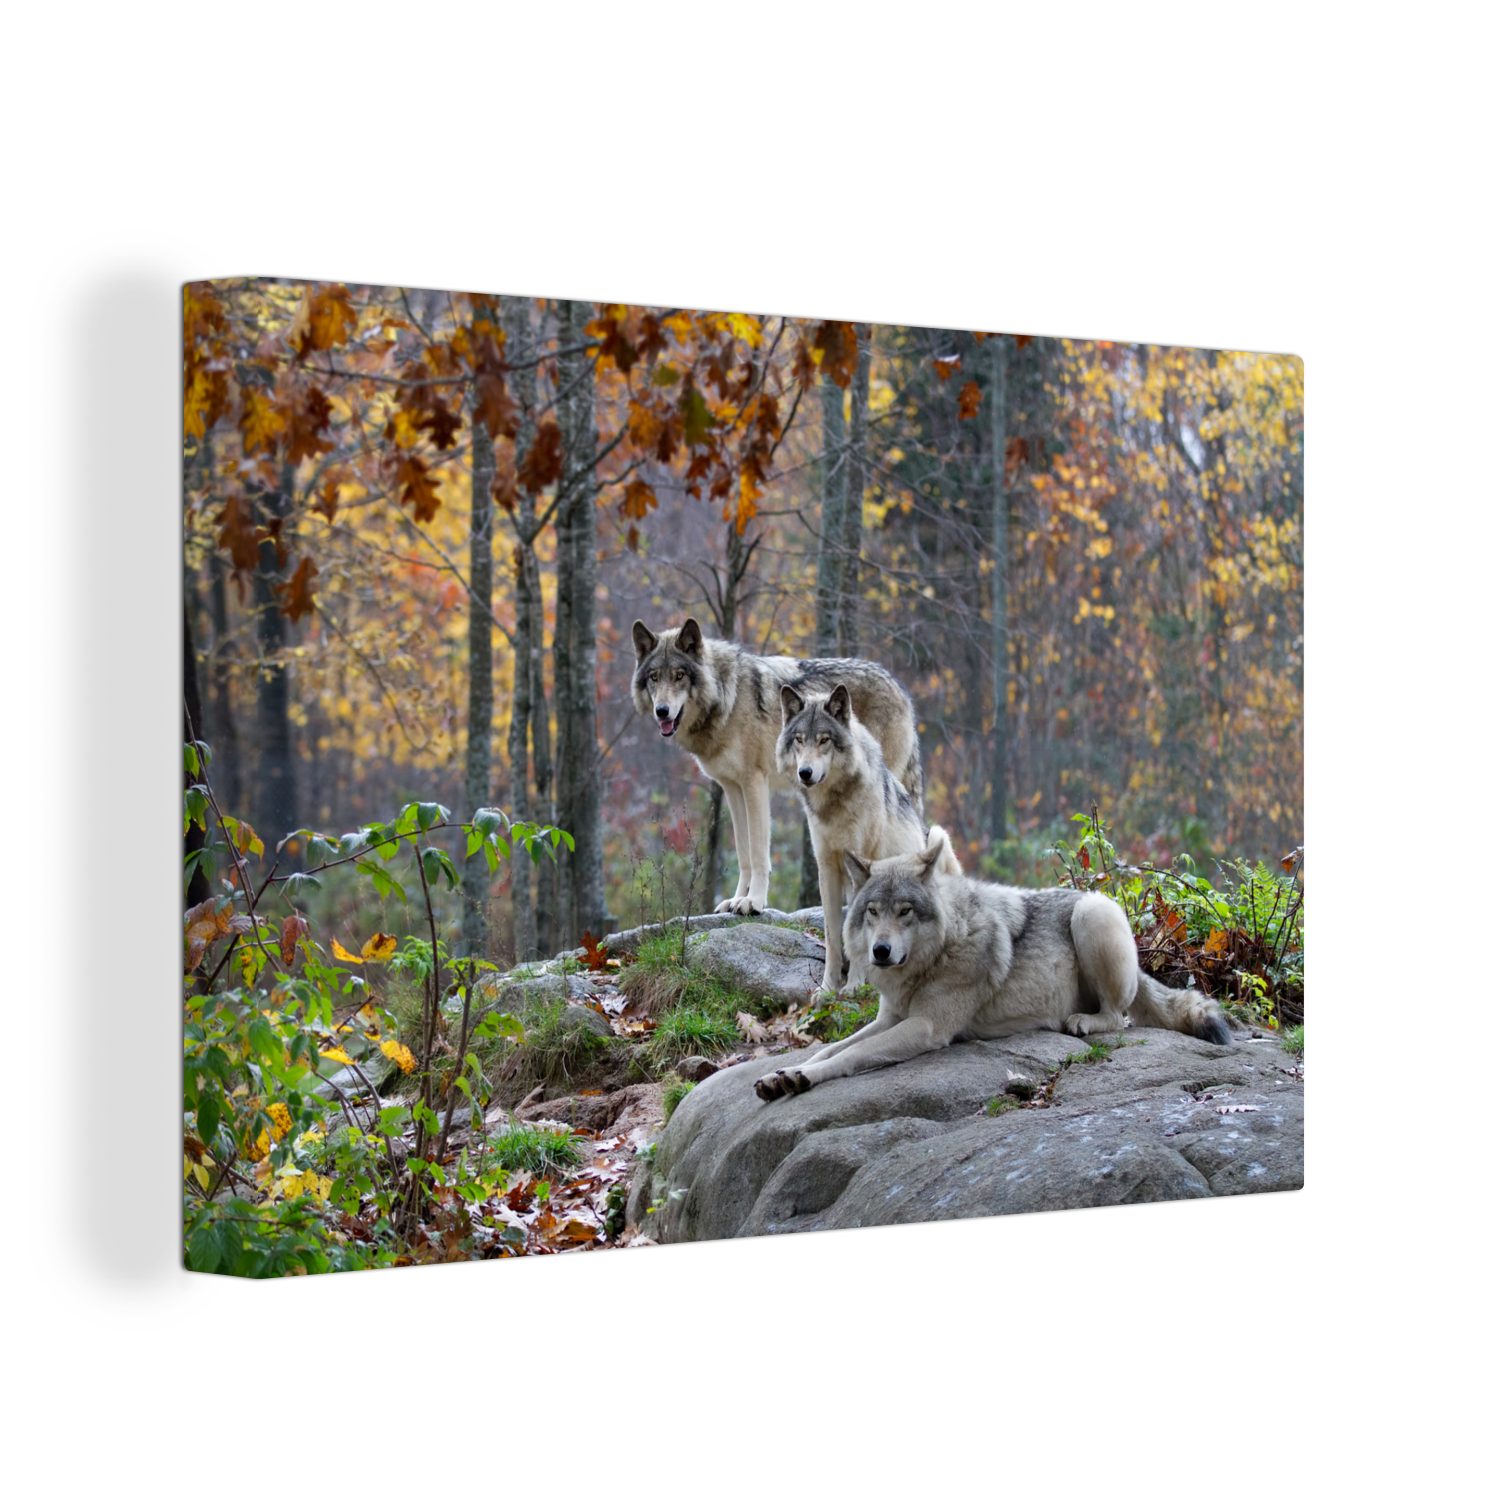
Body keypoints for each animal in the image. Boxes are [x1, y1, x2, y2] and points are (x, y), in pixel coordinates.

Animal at [631, 618, 922, 915]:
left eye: (679, 675)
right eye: (654, 677)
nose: (662, 711)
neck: (727, 697)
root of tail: (900, 687)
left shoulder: (754, 782)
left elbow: (759, 852)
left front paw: (754, 901)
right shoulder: (732, 787)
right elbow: (744, 852)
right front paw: (736, 899)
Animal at [755, 826, 1232, 1101]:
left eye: (905, 911)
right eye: (873, 912)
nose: (881, 951)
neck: (942, 948)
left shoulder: (925, 1027)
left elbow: (851, 1055)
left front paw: (803, 1076)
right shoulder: (890, 1017)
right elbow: (833, 1047)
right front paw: (787, 1073)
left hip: (1091, 914)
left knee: (1119, 1017)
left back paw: (1083, 1021)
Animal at [776, 683, 957, 993]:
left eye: (824, 740)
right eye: (799, 740)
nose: (805, 773)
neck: (834, 805)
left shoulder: (859, 867)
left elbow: (856, 928)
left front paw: (854, 985)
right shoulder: (826, 867)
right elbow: (833, 935)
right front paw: (828, 988)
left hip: (937, 834)